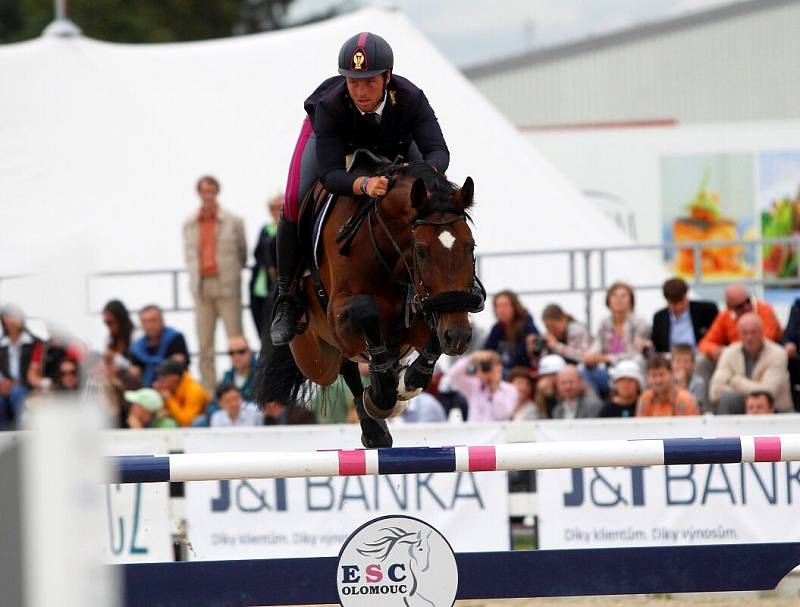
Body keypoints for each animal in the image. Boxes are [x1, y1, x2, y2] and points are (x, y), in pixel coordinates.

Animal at [258, 159, 482, 448]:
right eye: (420, 250)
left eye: (471, 246)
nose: (458, 337)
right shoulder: (339, 316)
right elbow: (366, 310)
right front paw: (381, 394)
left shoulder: (427, 313)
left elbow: (432, 334)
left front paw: (409, 381)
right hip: (314, 359)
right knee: (347, 367)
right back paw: (375, 421)